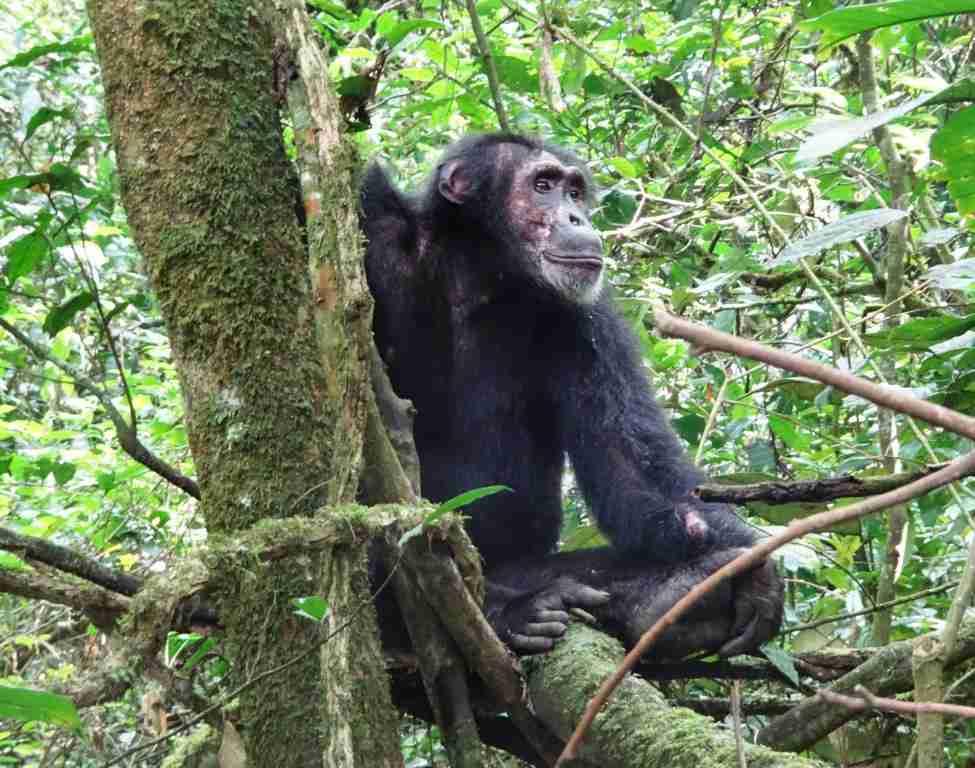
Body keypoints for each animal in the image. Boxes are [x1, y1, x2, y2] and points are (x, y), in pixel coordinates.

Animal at [360, 134, 784, 660]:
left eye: (575, 192)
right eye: (542, 185)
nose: (576, 218)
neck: (475, 271)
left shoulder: (588, 319)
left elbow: (631, 460)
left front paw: (748, 568)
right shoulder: (375, 234)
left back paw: (677, 594)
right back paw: (512, 612)